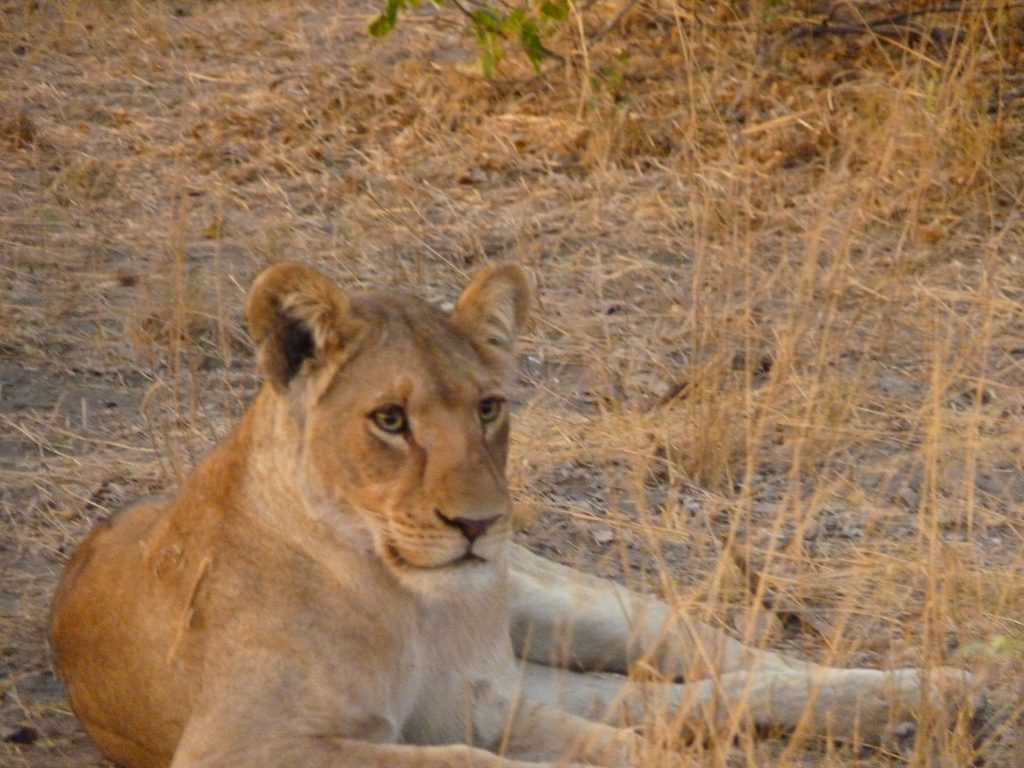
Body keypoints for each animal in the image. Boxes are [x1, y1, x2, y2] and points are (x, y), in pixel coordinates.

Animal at [50, 262, 977, 768]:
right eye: (391, 420)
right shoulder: (242, 745)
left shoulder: (476, 699)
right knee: (680, 699)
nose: (479, 526)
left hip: (564, 605)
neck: (398, 601)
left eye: (490, 408)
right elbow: (472, 759)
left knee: (724, 659)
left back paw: (938, 691)